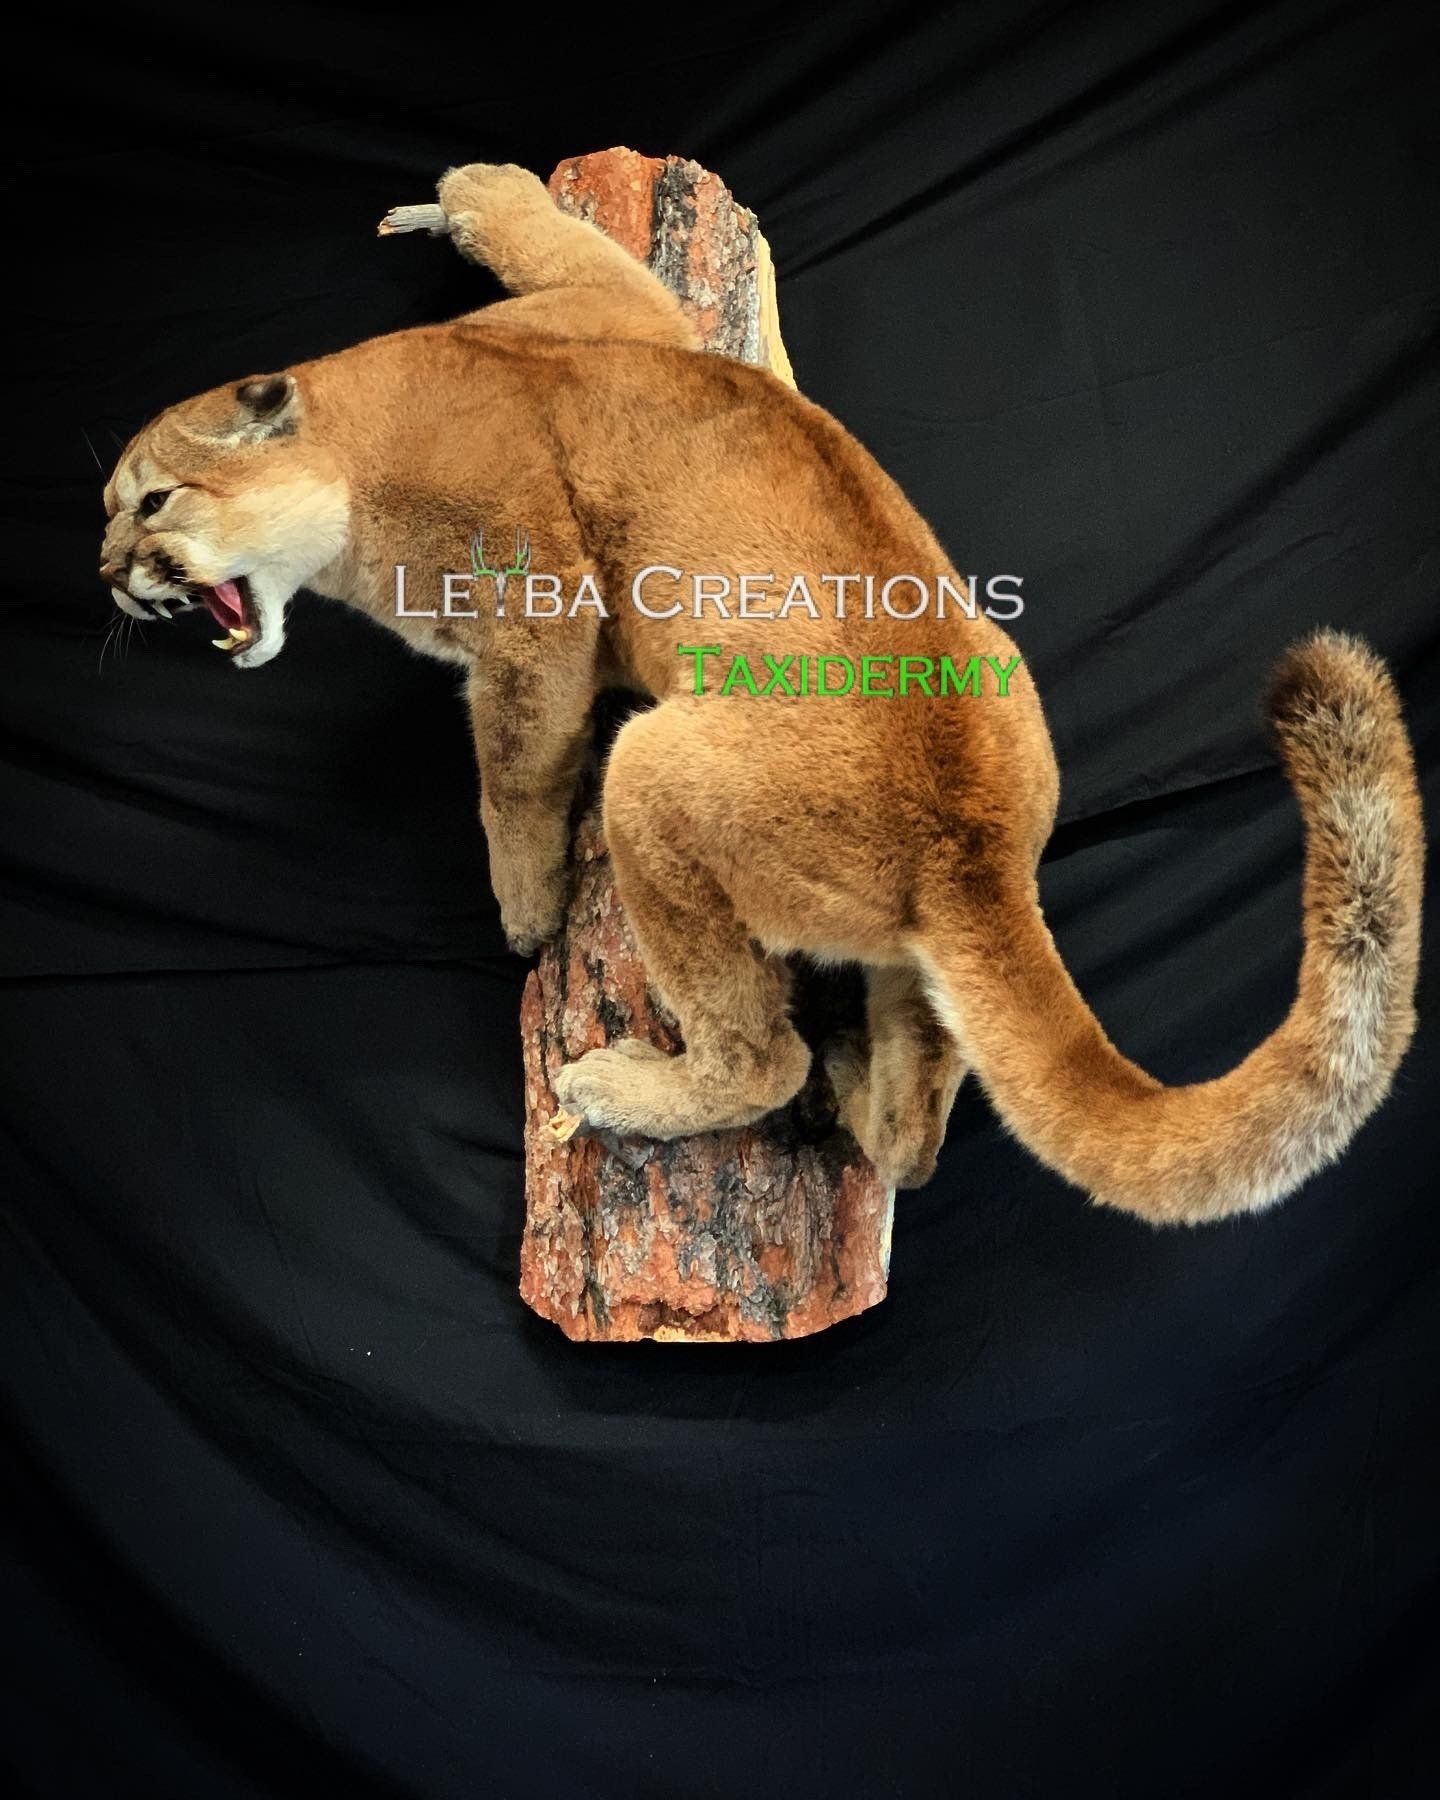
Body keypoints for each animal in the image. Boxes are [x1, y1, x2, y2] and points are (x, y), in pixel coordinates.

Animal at [99, 162, 1423, 1219]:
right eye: (110, 514)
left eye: (151, 501)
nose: (109, 576)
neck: (359, 423)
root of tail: (982, 849)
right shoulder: (616, 311)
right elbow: (556, 230)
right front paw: (454, 197)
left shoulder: (536, 601)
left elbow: (516, 768)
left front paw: (523, 910)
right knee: (917, 1132)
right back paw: (862, 1094)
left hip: (656, 776)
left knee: (756, 1057)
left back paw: (632, 1086)